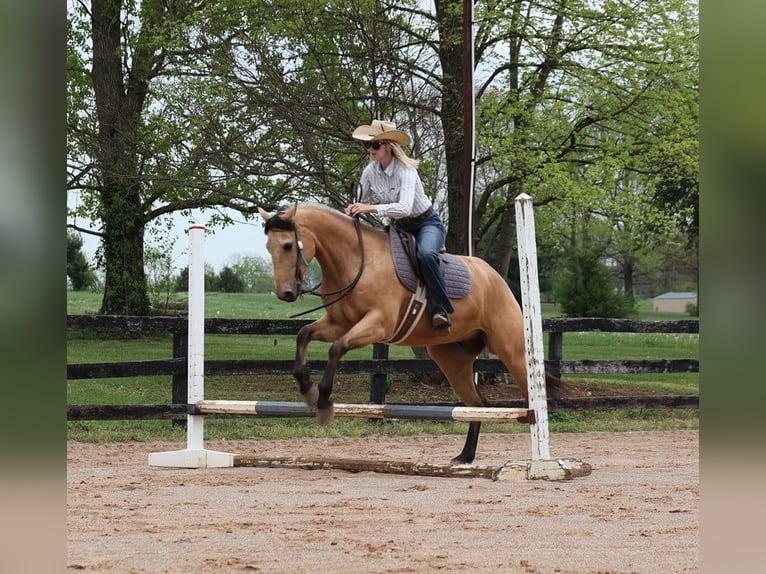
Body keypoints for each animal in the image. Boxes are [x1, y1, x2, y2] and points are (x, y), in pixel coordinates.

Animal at [258, 203, 570, 464]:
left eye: (288, 245)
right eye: (268, 247)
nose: (285, 293)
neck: (357, 261)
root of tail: (497, 279)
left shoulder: (376, 325)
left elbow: (336, 349)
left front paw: (322, 401)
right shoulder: (337, 323)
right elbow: (303, 334)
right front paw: (305, 387)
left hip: (512, 349)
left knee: (530, 395)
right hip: (450, 359)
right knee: (477, 403)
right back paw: (465, 456)